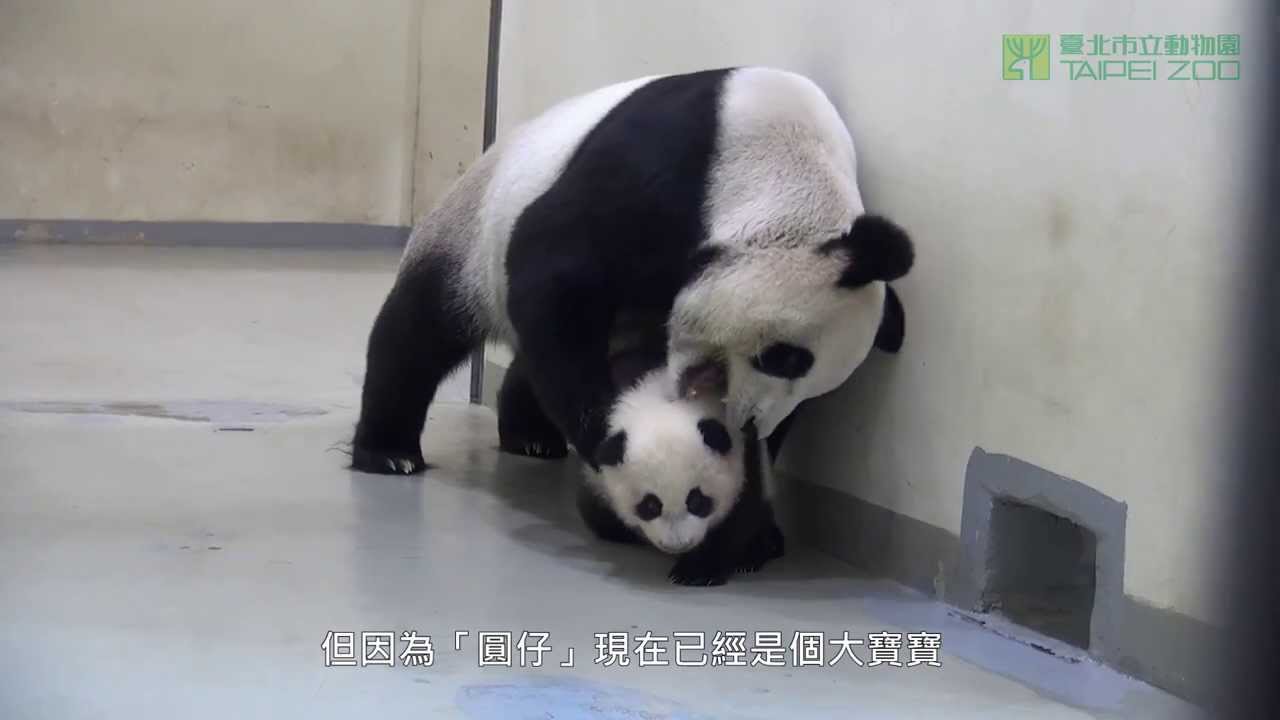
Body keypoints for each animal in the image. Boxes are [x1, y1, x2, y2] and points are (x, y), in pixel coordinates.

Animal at [351, 66, 913, 481]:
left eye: (815, 386)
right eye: (785, 357)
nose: (752, 424)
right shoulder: (664, 167)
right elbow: (552, 275)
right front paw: (607, 434)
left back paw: (531, 436)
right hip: (469, 235)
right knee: (419, 331)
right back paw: (390, 452)